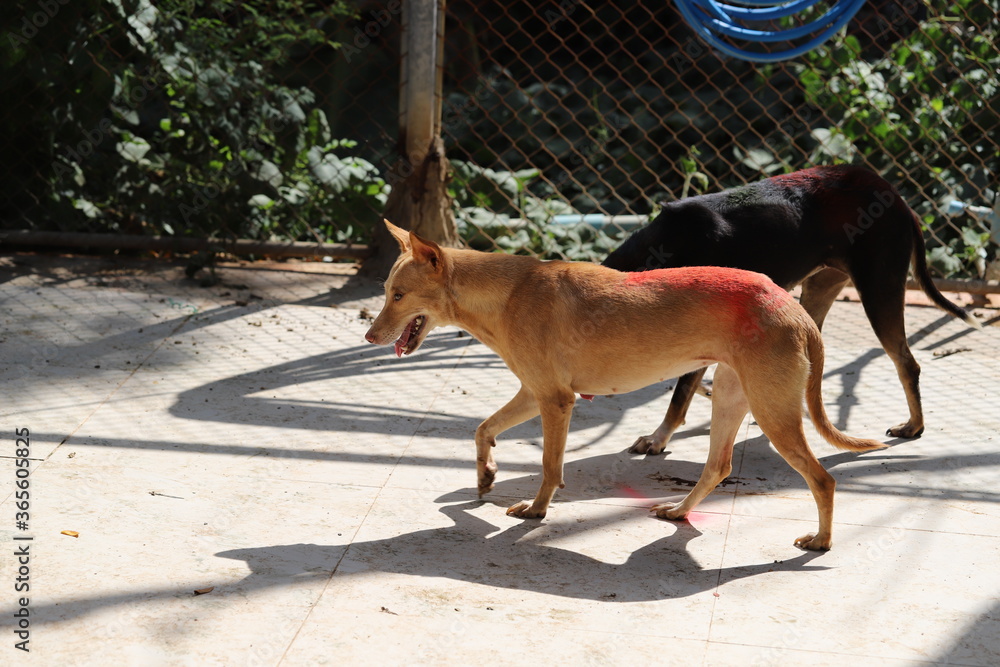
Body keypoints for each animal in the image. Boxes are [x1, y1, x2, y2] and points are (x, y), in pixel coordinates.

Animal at [368, 219, 884, 548]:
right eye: (385, 293)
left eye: (399, 296)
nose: (370, 337)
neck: (508, 293)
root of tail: (793, 308)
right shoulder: (535, 394)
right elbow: (482, 429)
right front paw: (485, 474)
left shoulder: (556, 401)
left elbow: (550, 468)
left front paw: (536, 511)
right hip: (732, 399)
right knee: (717, 468)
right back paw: (679, 511)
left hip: (773, 413)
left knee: (823, 480)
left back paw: (822, 541)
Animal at [600, 164, 976, 452]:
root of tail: (898, 199)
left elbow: (680, 396)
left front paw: (657, 439)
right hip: (819, 291)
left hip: (878, 290)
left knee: (907, 363)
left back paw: (914, 425)